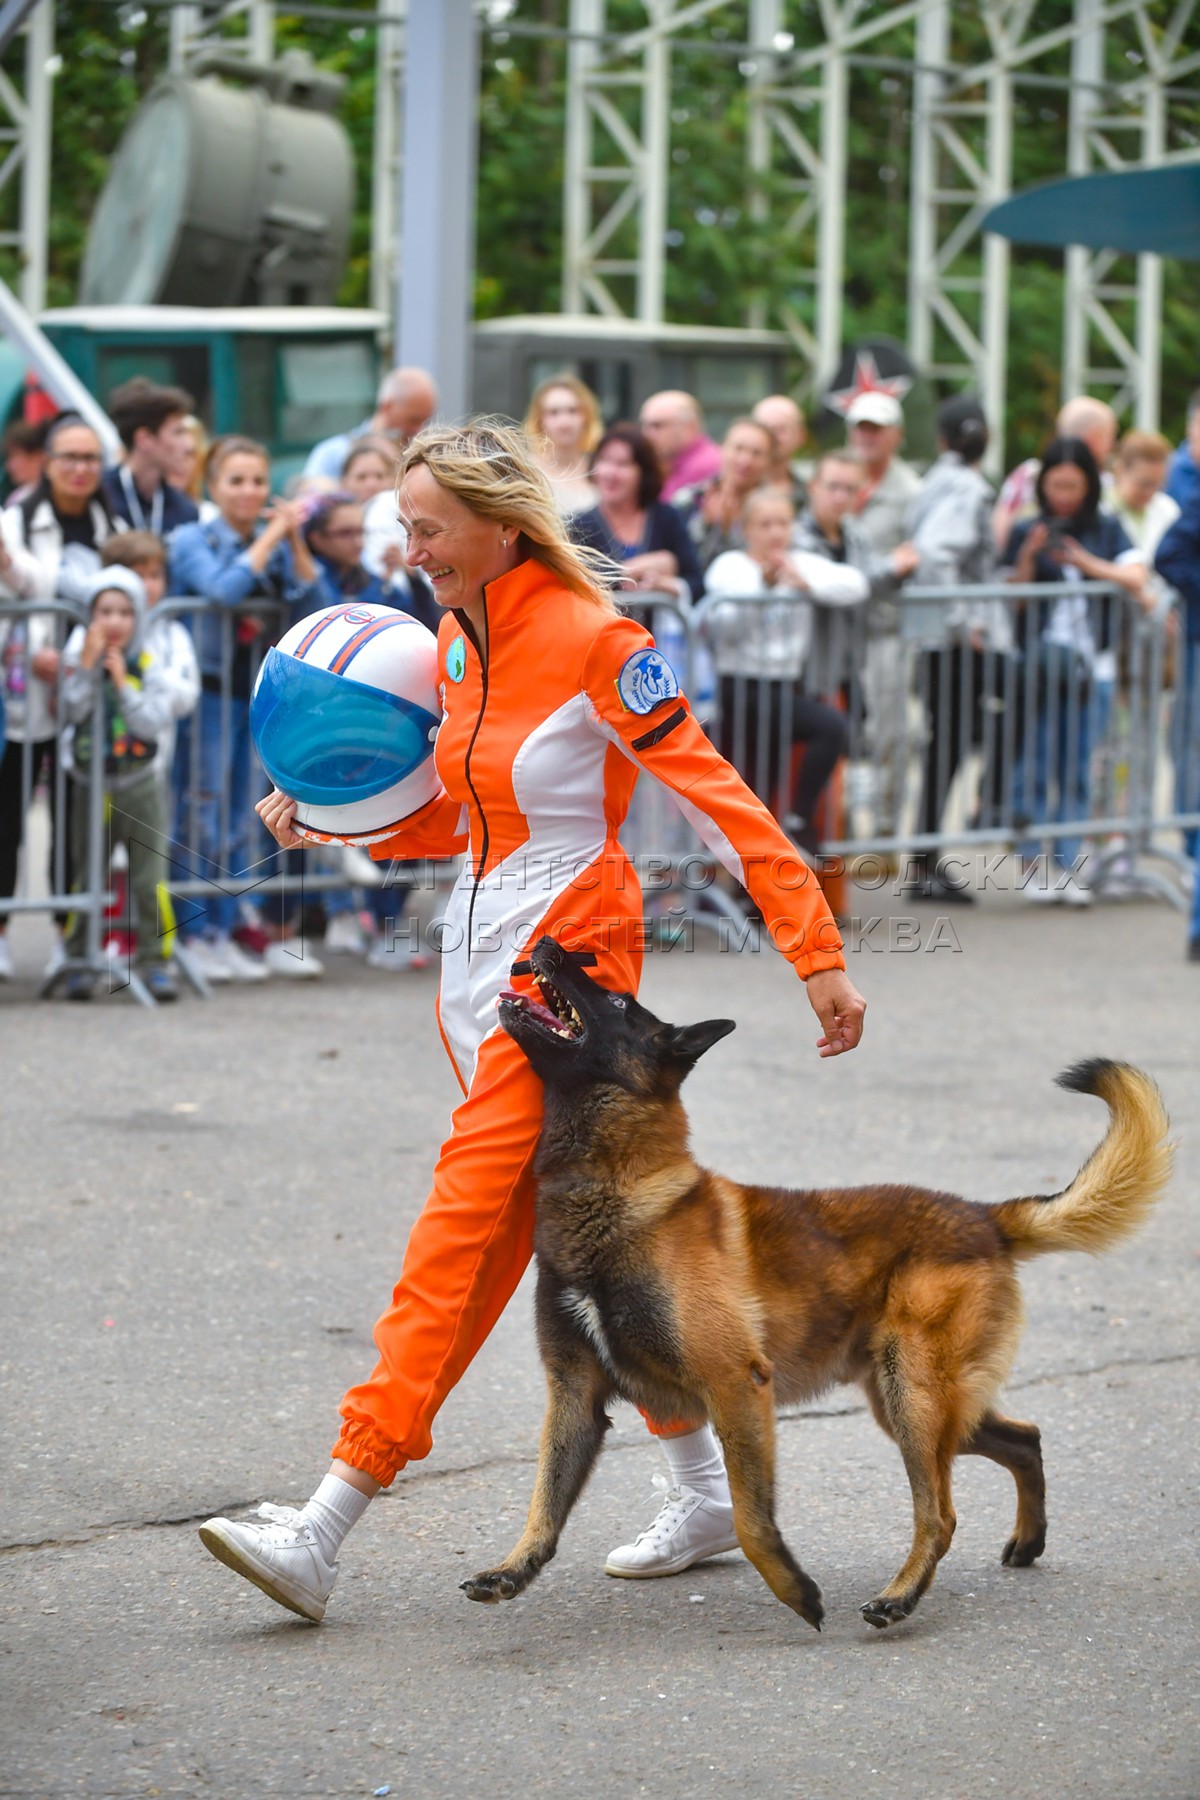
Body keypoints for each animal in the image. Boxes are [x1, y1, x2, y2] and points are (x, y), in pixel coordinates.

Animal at [462, 936, 1172, 1632]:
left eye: (615, 1000)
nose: (549, 942)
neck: (615, 1188)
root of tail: (983, 1216)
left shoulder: (737, 1386)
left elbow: (751, 1519)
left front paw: (796, 1591)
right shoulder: (575, 1395)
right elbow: (545, 1500)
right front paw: (512, 1570)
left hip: (915, 1400)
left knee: (940, 1514)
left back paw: (900, 1596)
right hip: (915, 1403)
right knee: (1025, 1439)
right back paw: (1027, 1542)